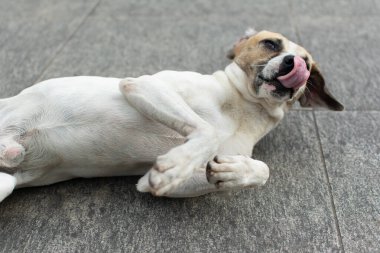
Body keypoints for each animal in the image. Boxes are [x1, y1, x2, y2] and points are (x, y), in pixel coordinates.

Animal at [0, 29, 342, 203]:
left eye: (308, 62)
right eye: (270, 44)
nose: (294, 63)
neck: (243, 109)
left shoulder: (177, 183)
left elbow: (261, 170)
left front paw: (235, 172)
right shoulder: (144, 84)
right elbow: (206, 131)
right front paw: (175, 163)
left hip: (5, 183)